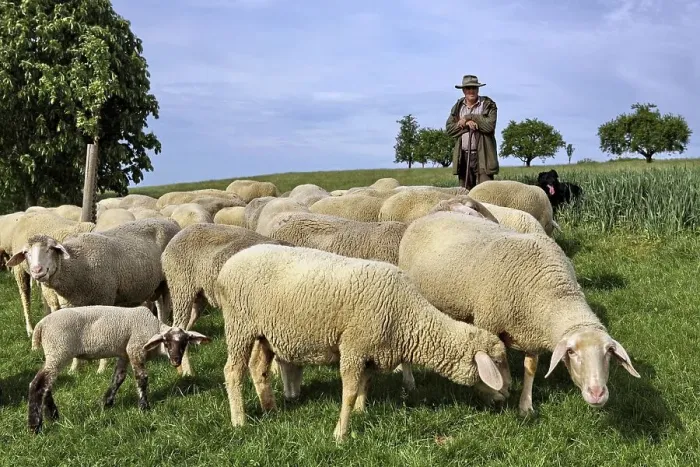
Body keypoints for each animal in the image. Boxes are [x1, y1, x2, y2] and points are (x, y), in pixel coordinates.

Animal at [27, 305, 210, 434]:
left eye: (185, 342)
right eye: (167, 342)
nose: (176, 361)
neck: (154, 328)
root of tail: (40, 326)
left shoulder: (124, 353)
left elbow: (118, 377)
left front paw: (106, 402)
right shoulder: (135, 349)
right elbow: (141, 377)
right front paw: (144, 406)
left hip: (54, 354)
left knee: (47, 385)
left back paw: (53, 416)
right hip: (59, 351)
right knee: (38, 384)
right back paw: (35, 426)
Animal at [161, 224, 288, 376]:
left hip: (199, 297)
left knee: (185, 330)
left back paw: (180, 367)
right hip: (181, 288)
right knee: (178, 326)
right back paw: (188, 372)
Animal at [213, 243, 511, 442]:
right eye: (497, 363)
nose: (508, 393)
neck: (407, 316)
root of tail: (229, 264)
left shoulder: (372, 353)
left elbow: (364, 386)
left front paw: (360, 412)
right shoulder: (354, 348)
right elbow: (348, 391)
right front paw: (341, 433)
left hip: (265, 332)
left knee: (257, 368)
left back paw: (270, 409)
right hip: (239, 325)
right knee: (233, 371)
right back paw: (239, 420)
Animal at [397, 211, 640, 416]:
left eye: (609, 352)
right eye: (571, 352)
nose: (597, 394)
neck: (552, 292)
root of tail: (428, 215)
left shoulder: (532, 333)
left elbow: (530, 369)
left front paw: (525, 405)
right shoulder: (489, 321)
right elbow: (495, 359)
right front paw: (497, 391)